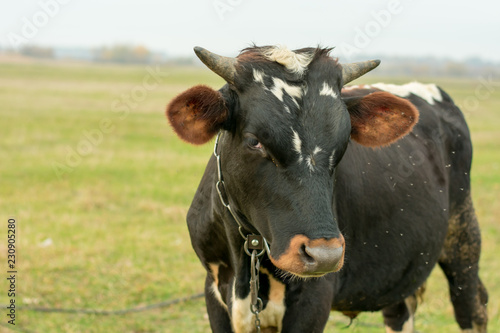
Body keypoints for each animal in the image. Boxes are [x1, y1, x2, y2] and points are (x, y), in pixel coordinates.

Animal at [166, 44, 486, 332]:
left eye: (343, 144)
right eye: (254, 141)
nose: (324, 255)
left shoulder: (313, 299)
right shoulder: (214, 289)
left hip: (463, 235)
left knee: (473, 304)